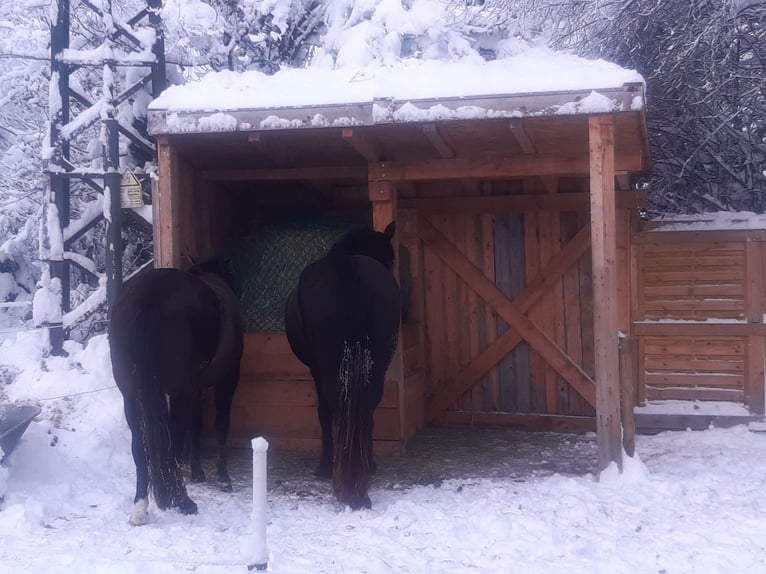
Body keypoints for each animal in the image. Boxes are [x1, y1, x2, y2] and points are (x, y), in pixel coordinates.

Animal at [109, 261, 244, 526]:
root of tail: (149, 297)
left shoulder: (195, 388)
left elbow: (197, 425)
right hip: (181, 394)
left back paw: (140, 508)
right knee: (173, 441)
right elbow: (221, 424)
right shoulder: (227, 378)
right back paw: (183, 500)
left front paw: (198, 471)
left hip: (132, 397)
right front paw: (223, 476)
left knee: (140, 448)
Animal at [284, 221, 401, 510]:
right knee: (368, 406)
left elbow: (324, 413)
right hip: (376, 365)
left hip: (328, 366)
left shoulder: (315, 368)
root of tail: (347, 268)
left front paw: (325, 466)